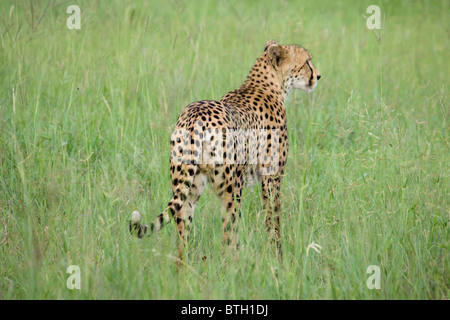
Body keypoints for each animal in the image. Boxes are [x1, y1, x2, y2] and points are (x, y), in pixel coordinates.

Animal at [129, 40, 320, 262]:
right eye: (307, 62)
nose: (318, 76)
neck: (269, 84)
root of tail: (195, 117)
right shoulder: (272, 177)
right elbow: (273, 219)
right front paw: (277, 255)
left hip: (189, 185)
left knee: (182, 231)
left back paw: (184, 266)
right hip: (232, 188)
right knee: (229, 235)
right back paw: (234, 264)